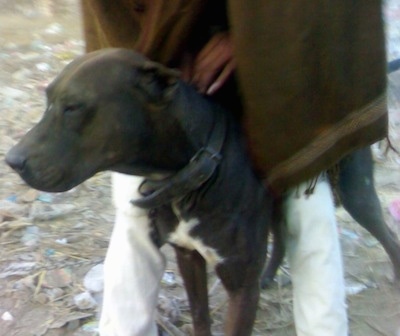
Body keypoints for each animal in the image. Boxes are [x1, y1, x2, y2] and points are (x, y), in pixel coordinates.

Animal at [5, 48, 276, 334]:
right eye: (48, 100)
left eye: (73, 107)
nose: (11, 160)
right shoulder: (188, 258)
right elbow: (200, 315)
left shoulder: (243, 288)